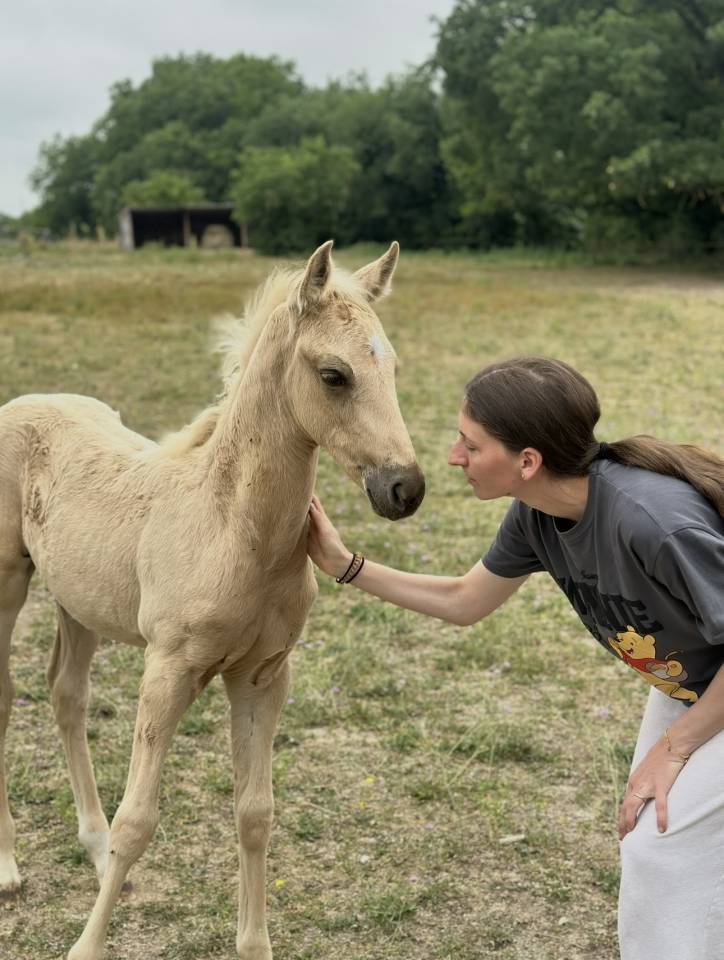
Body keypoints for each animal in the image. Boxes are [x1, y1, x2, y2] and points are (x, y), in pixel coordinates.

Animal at [0, 240, 425, 960]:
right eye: (334, 374)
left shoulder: (262, 676)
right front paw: (85, 947)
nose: (405, 487)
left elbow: (255, 812)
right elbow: (138, 820)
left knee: (65, 694)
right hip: (6, 583)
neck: (235, 528)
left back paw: (91, 846)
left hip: (77, 601)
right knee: (7, 698)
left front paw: (255, 946)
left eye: (391, 364)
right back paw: (7, 867)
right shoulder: (168, 670)